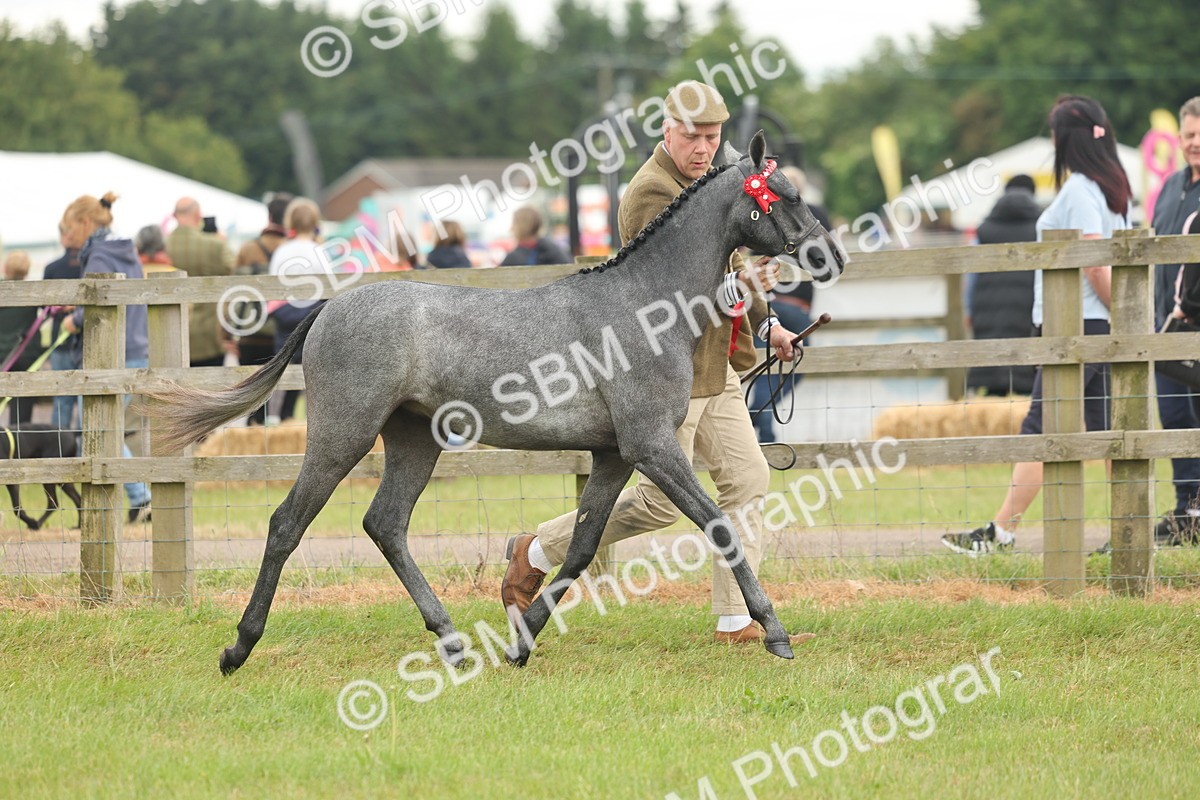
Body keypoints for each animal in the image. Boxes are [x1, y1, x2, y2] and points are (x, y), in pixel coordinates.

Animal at [146, 131, 846, 674]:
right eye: (787, 195)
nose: (831, 254)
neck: (645, 307)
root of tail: (329, 308)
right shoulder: (652, 445)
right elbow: (718, 525)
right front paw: (776, 633)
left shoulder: (615, 454)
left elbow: (582, 547)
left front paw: (521, 641)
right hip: (342, 434)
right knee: (288, 523)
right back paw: (239, 648)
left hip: (413, 439)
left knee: (385, 524)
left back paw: (454, 642)